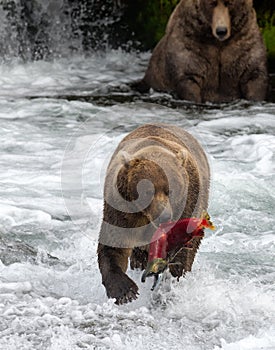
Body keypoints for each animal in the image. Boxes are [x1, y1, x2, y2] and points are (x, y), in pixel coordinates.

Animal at [98, 123, 210, 304]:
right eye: (148, 191)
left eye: (171, 190)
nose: (164, 216)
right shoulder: (121, 210)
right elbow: (113, 245)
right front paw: (126, 291)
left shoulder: (187, 205)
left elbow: (179, 250)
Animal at [136, 0, 270, 103]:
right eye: (212, 3)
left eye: (229, 3)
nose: (221, 31)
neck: (218, 43)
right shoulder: (191, 46)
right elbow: (189, 77)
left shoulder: (243, 43)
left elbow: (253, 75)